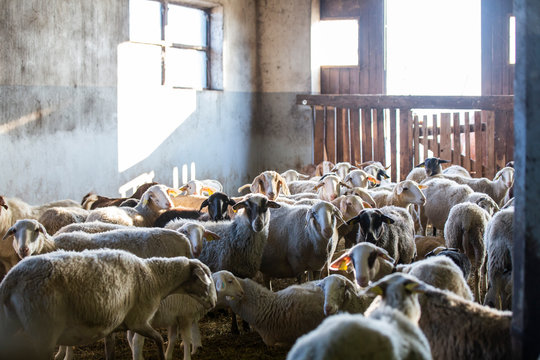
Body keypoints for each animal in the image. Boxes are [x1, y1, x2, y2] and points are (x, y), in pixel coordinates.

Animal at [0, 249, 215, 360]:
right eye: (205, 280)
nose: (213, 303)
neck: (154, 277)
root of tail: (10, 280)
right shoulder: (139, 321)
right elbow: (158, 340)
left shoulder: (112, 326)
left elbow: (110, 351)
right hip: (43, 332)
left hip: (10, 325)